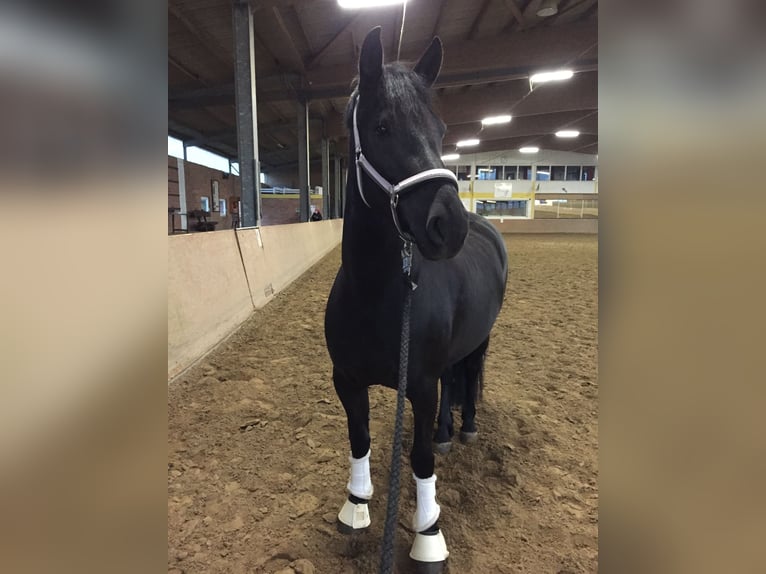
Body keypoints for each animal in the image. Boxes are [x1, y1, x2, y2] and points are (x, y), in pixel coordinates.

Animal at [326, 25, 510, 568]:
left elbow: (421, 456)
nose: (447, 225)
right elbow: (360, 436)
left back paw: (463, 429)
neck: (374, 296)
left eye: (441, 129)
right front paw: (356, 505)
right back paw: (450, 431)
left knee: (466, 378)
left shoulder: (421, 385)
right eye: (382, 126)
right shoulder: (347, 379)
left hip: (479, 341)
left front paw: (429, 534)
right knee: (454, 383)